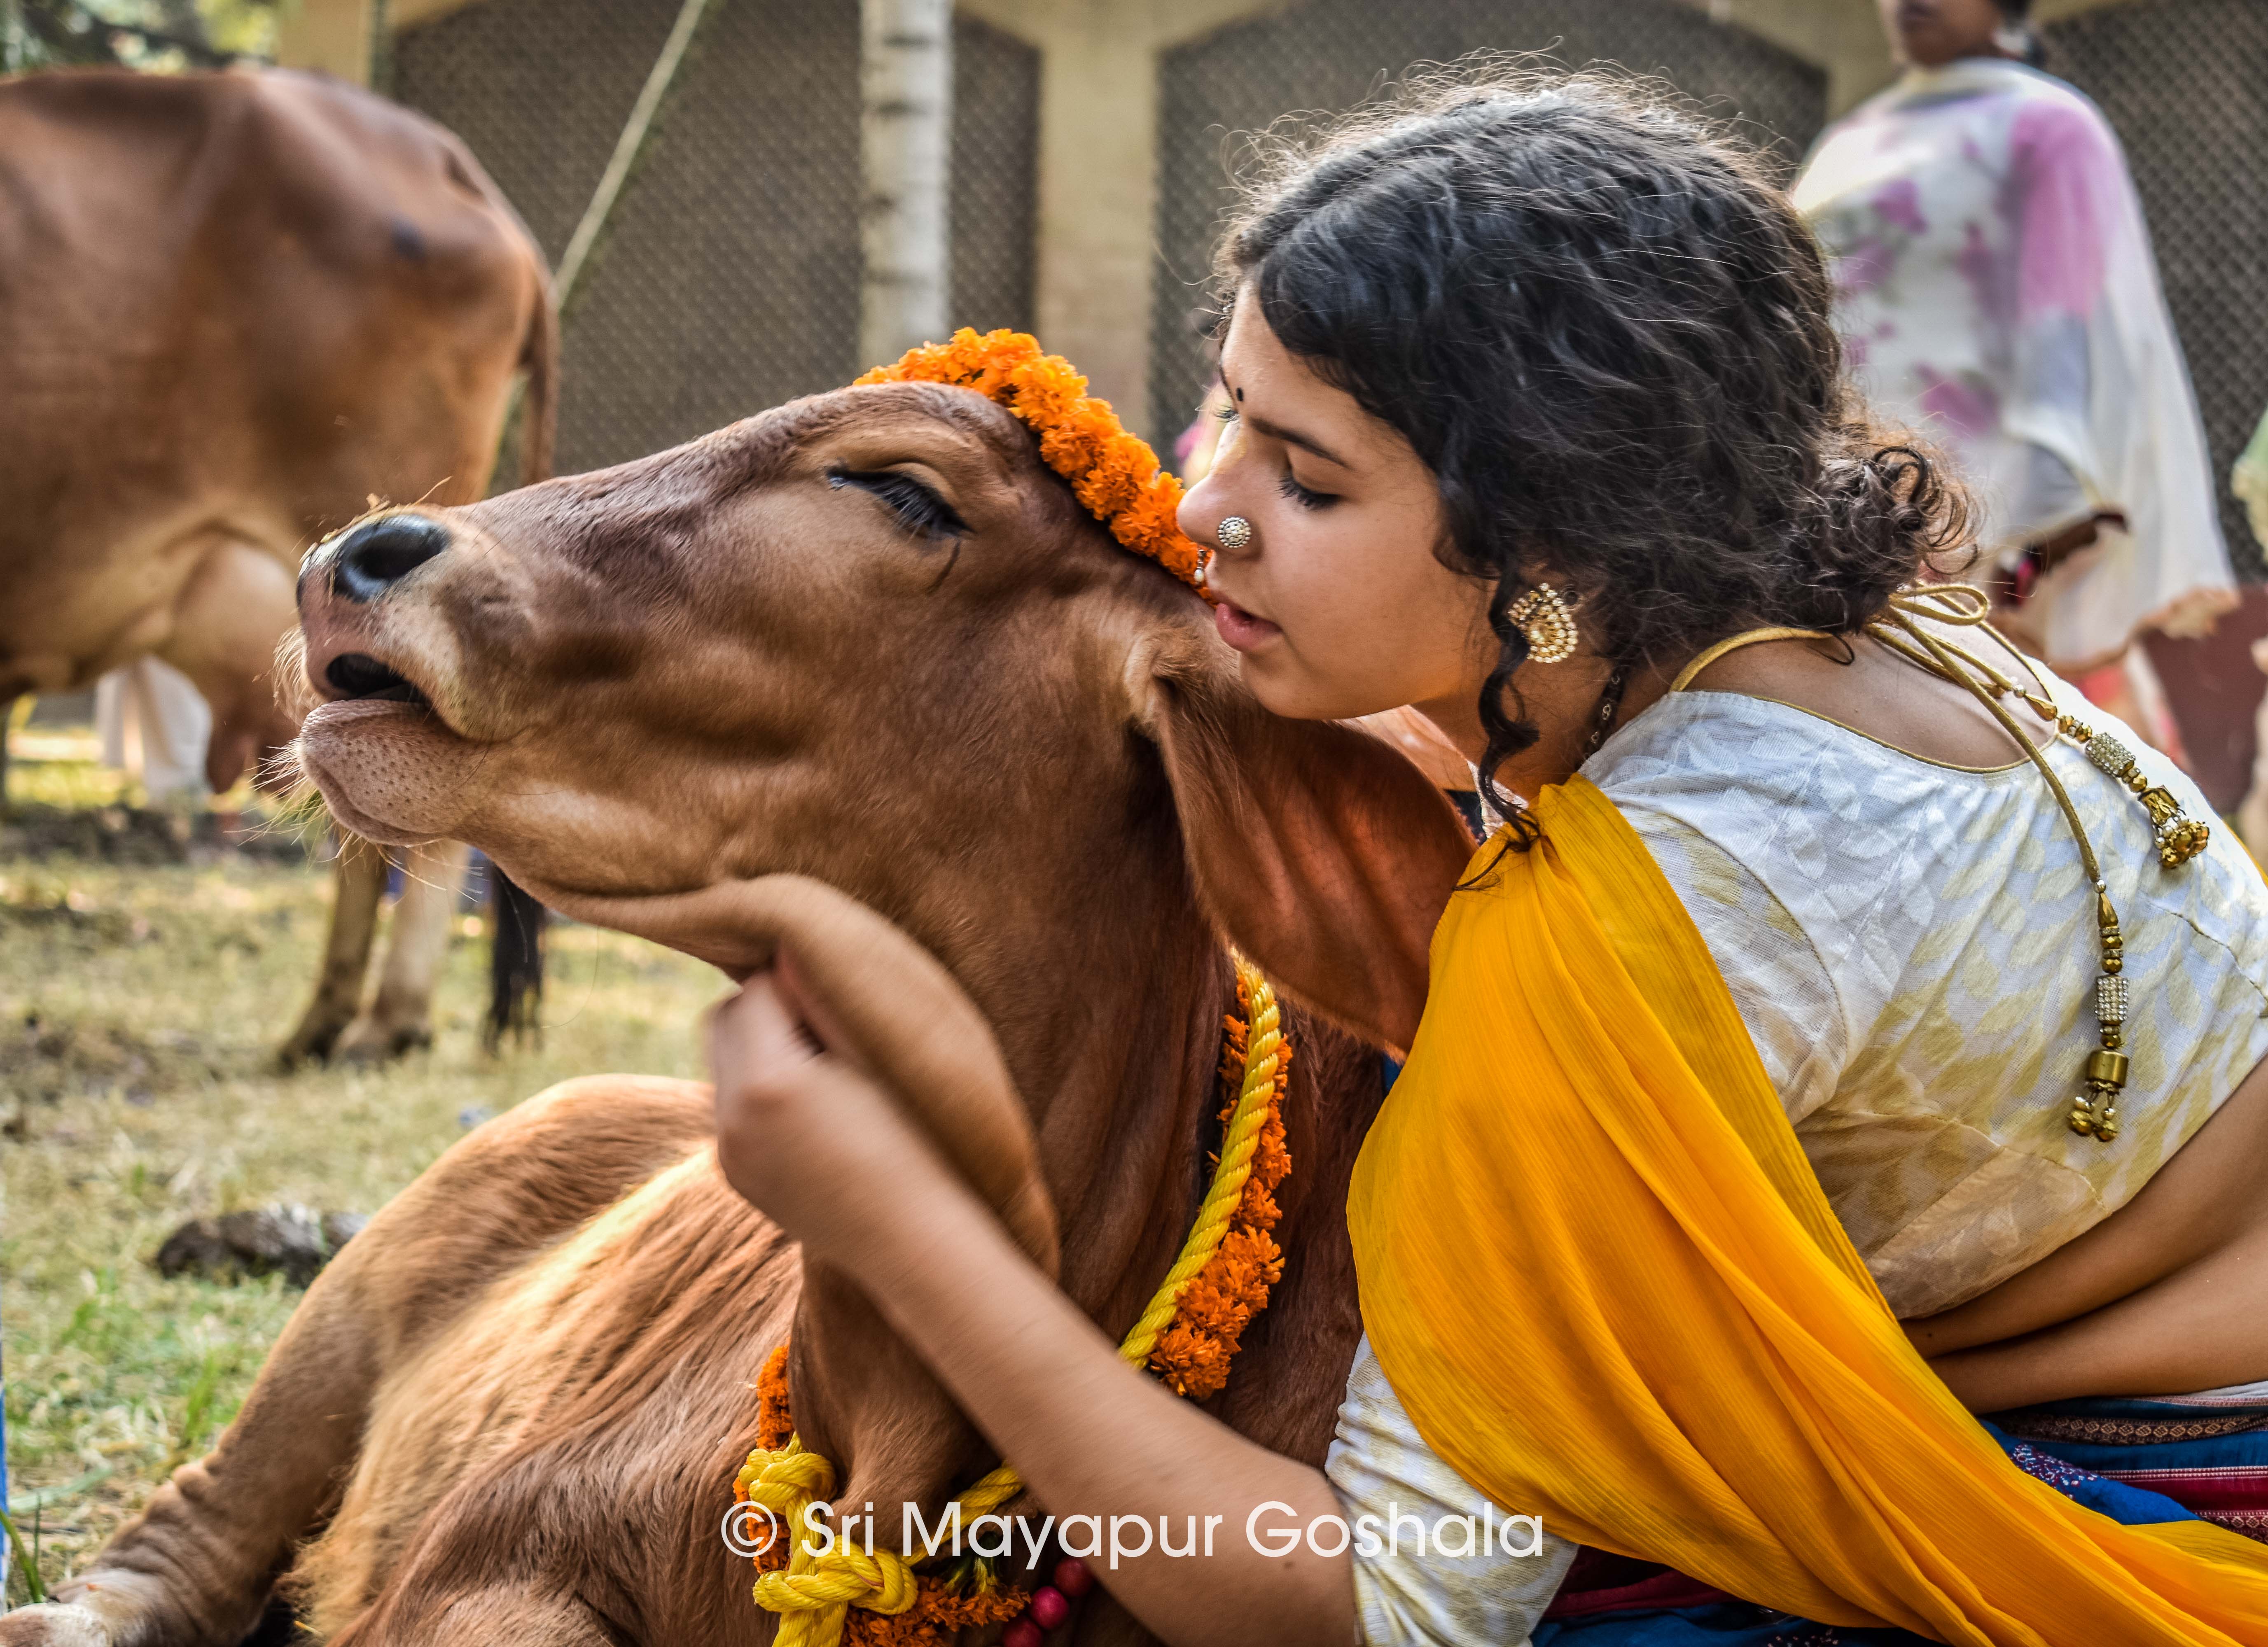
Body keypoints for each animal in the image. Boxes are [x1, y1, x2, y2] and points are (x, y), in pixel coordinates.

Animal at [0, 378, 1476, 1646]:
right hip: (340, 1326)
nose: (369, 551)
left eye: (905, 491)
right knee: (185, 1548)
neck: (896, 1422)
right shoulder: (496, 1547)